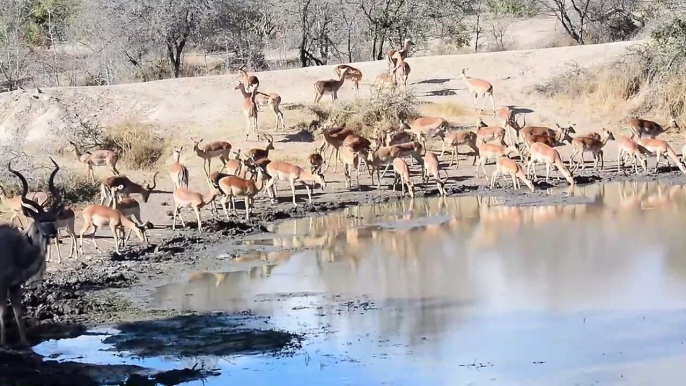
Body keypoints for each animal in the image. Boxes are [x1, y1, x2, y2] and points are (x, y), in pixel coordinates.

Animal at [0, 157, 62, 346]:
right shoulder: (3, 284)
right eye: (40, 219)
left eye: (53, 218)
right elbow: (3, 313)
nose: (53, 233)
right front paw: (4, 343)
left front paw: (25, 343)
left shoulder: (15, 285)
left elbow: (18, 314)